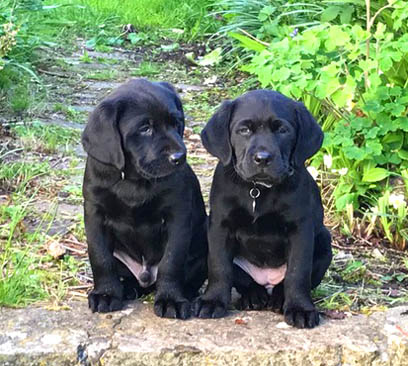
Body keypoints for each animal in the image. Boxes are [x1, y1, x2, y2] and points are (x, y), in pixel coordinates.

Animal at [81, 78, 207, 318]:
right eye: (145, 128)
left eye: (176, 123)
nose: (179, 157)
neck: (134, 180)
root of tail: (146, 277)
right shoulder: (94, 212)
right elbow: (100, 257)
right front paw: (106, 294)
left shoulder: (177, 214)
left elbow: (171, 260)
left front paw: (170, 299)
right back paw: (127, 288)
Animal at [194, 89, 332, 328]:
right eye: (244, 130)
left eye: (283, 130)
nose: (263, 158)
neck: (257, 190)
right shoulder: (220, 226)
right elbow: (219, 266)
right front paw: (213, 301)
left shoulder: (301, 230)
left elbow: (298, 272)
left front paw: (300, 308)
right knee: (245, 281)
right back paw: (253, 296)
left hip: (324, 241)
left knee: (284, 284)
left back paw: (279, 299)